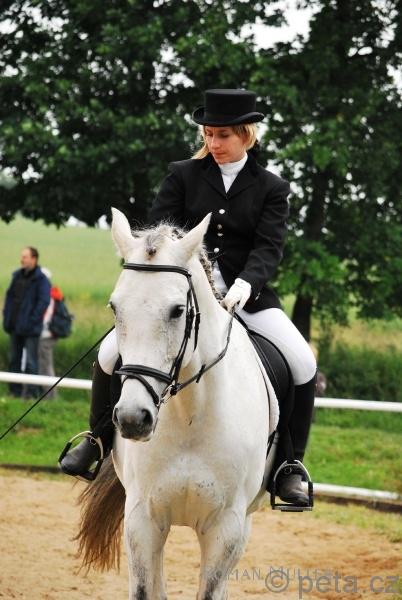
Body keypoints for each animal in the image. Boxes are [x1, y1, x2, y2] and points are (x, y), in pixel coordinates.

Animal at [76, 207, 279, 600]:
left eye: (176, 310)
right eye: (114, 307)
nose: (133, 418)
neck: (190, 414)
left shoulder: (226, 528)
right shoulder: (142, 519)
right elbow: (145, 590)